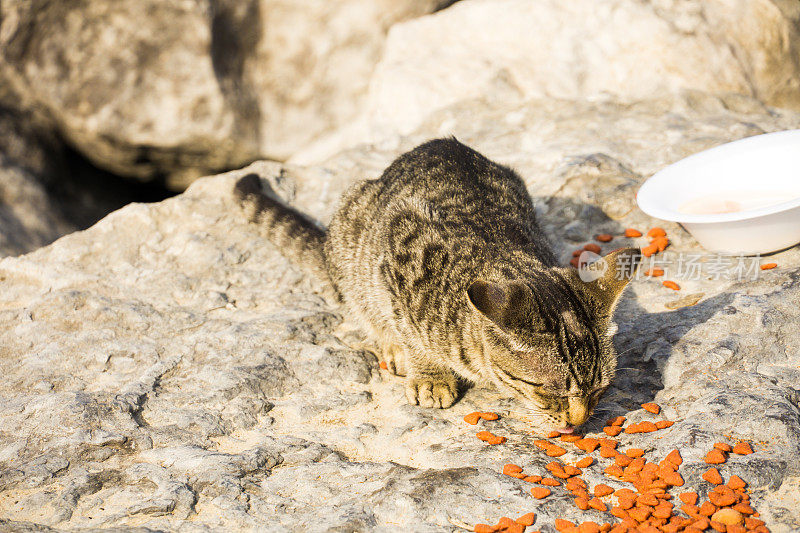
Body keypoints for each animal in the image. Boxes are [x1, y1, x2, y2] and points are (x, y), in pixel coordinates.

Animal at [234, 138, 640, 432]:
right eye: (547, 390)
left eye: (600, 389)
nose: (579, 421)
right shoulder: (396, 263)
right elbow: (412, 334)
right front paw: (429, 375)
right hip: (352, 230)